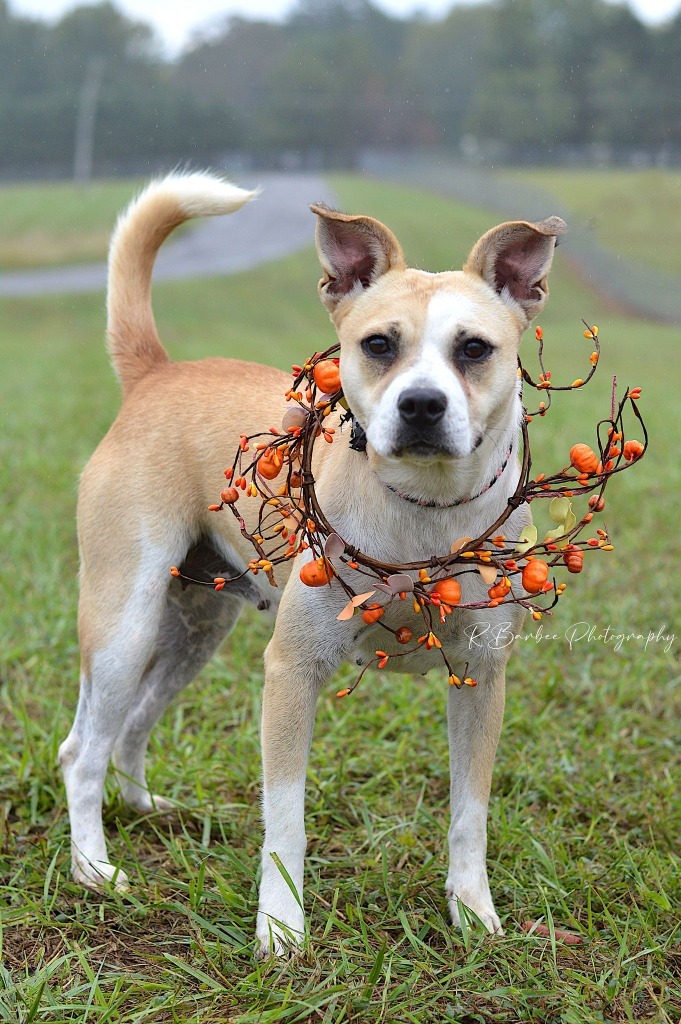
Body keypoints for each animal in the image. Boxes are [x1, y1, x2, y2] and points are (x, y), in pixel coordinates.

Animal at [58, 174, 565, 950]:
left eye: (475, 349)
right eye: (378, 344)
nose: (422, 405)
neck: (422, 512)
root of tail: (157, 373)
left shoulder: (482, 678)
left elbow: (468, 815)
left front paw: (473, 913)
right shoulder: (292, 671)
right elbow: (285, 820)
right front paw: (280, 927)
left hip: (195, 631)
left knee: (125, 728)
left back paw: (145, 808)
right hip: (124, 623)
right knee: (84, 751)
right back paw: (94, 867)